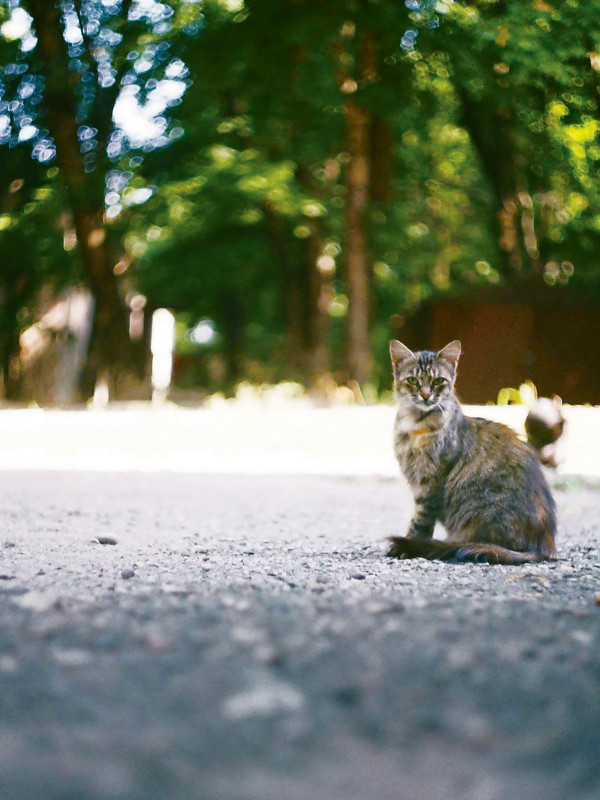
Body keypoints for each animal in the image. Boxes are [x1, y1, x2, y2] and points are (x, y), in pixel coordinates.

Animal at [386, 340, 556, 564]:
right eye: (413, 380)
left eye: (438, 381)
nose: (425, 395)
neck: (414, 424)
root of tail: (542, 545)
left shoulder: (431, 483)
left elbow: (420, 522)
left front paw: (409, 545)